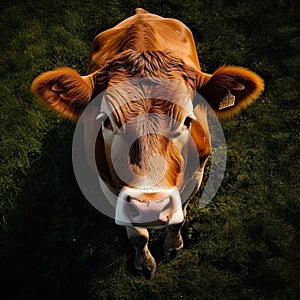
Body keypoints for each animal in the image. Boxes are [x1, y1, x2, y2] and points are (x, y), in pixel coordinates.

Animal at [31, 8, 264, 278]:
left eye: (187, 119)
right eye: (107, 121)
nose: (151, 207)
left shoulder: (196, 175)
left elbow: (179, 218)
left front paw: (173, 247)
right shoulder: (109, 186)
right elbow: (137, 235)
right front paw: (145, 265)